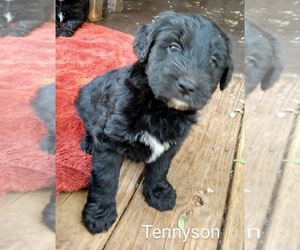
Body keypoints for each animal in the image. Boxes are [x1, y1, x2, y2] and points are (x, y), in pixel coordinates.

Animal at [75, 11, 234, 234]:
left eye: (213, 61)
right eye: (173, 47)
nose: (188, 85)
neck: (161, 109)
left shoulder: (172, 142)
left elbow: (161, 167)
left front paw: (159, 192)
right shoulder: (111, 139)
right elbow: (105, 178)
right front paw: (99, 214)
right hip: (87, 101)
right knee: (90, 124)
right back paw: (89, 142)